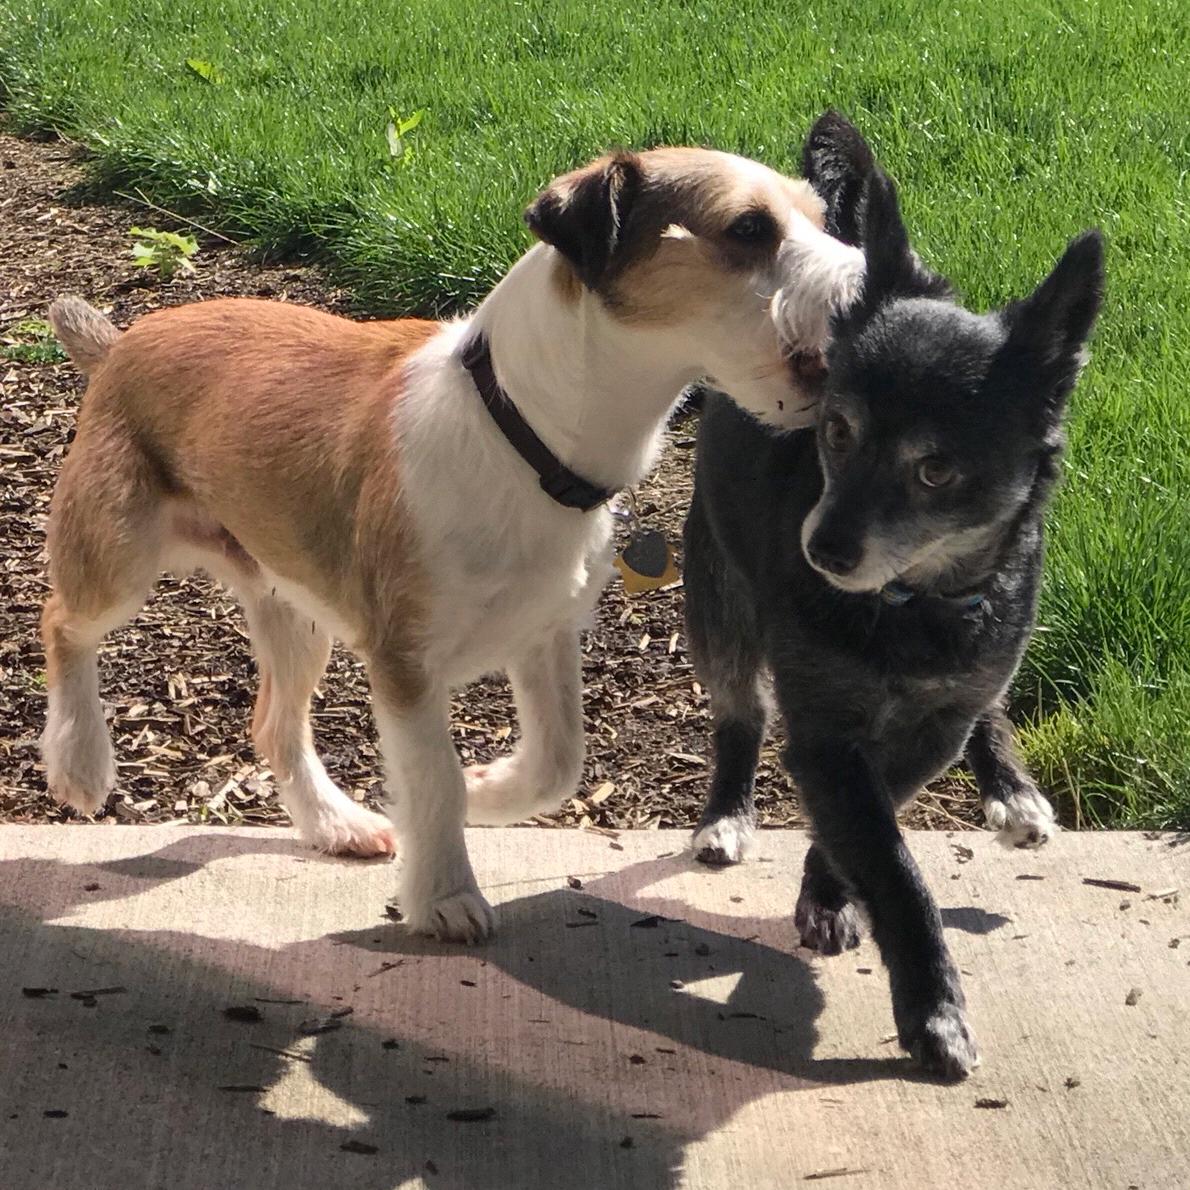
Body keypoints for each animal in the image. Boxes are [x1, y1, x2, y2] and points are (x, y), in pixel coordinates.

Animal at [41, 146, 861, 937]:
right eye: (749, 228)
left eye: (824, 217)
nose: (872, 286)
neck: (519, 432)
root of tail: (119, 343)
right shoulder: (405, 663)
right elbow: (432, 779)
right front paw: (445, 895)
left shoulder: (544, 633)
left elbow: (558, 760)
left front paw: (486, 789)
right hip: (118, 557)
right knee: (63, 625)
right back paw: (81, 762)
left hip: (293, 607)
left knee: (274, 725)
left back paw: (337, 824)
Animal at [685, 113, 1109, 1080]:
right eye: (836, 431)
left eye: (936, 469)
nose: (823, 549)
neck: (917, 606)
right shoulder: (823, 734)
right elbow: (889, 856)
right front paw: (932, 1007)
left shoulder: (937, 719)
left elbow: (886, 814)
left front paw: (829, 890)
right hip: (717, 608)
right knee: (738, 717)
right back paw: (726, 816)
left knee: (989, 709)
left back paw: (1013, 794)